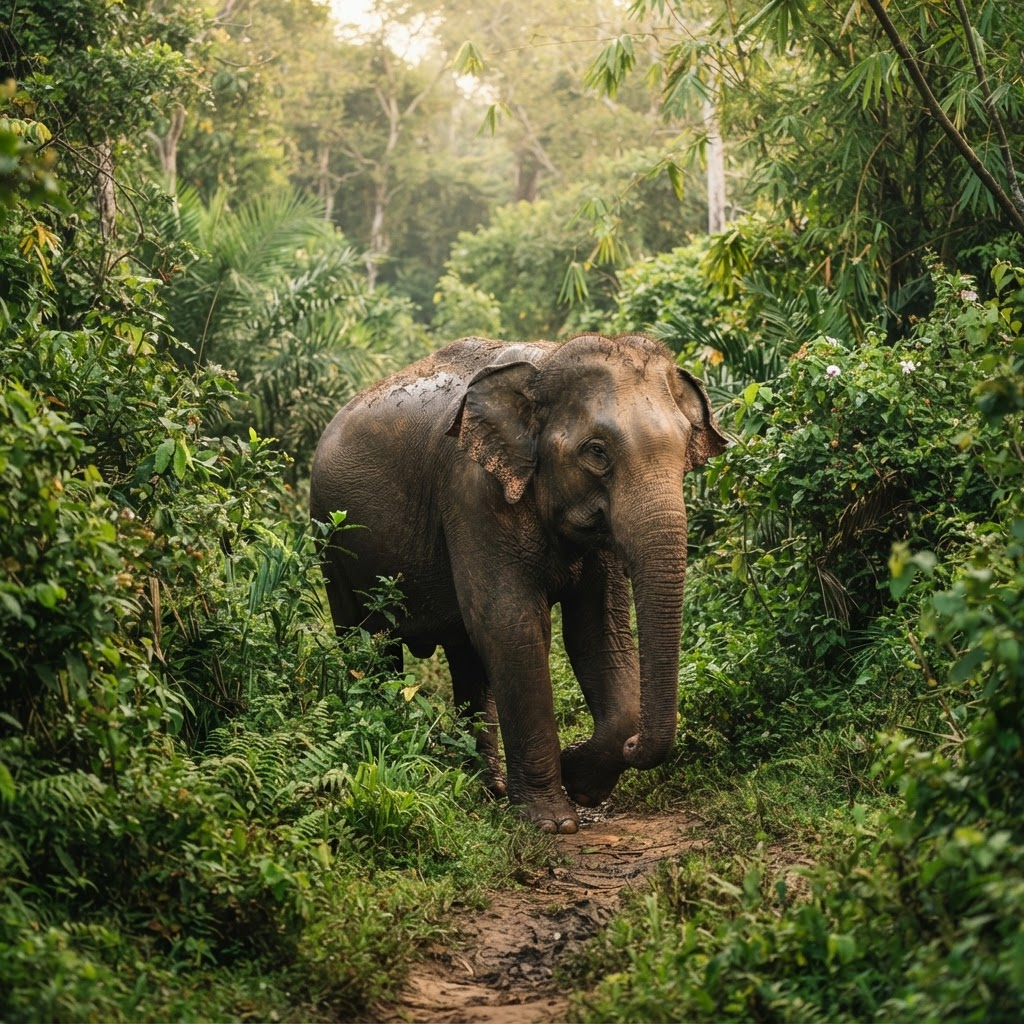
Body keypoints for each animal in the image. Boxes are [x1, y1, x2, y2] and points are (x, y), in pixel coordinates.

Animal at [309, 333, 727, 834]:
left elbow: (596, 633)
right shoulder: (471, 494)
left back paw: (487, 787)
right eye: (597, 451)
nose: (633, 747)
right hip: (331, 541)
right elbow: (512, 627)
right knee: (369, 645)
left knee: (466, 658)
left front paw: (580, 783)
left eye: (685, 448)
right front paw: (551, 821)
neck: (546, 363)